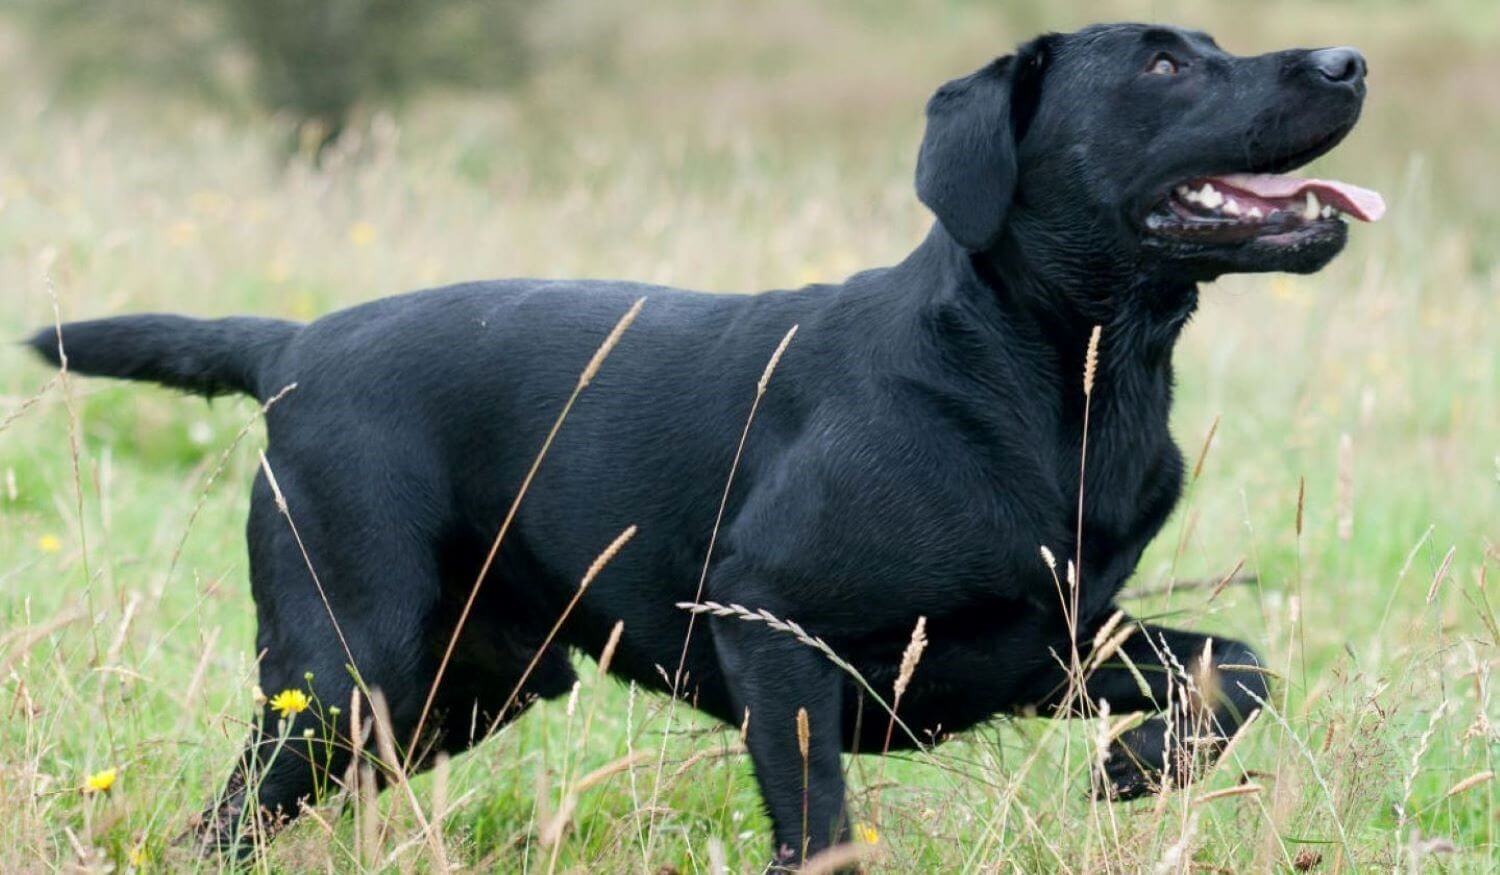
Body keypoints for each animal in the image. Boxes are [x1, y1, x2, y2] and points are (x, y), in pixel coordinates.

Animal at [26, 22, 1380, 870]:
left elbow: (1241, 666)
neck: (1061, 383)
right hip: (349, 676)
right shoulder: (775, 629)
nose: (1350, 59)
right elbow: (819, 825)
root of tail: (296, 343)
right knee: (224, 819)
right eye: (1162, 62)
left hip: (456, 691)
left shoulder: (1049, 639)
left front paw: (1139, 768)